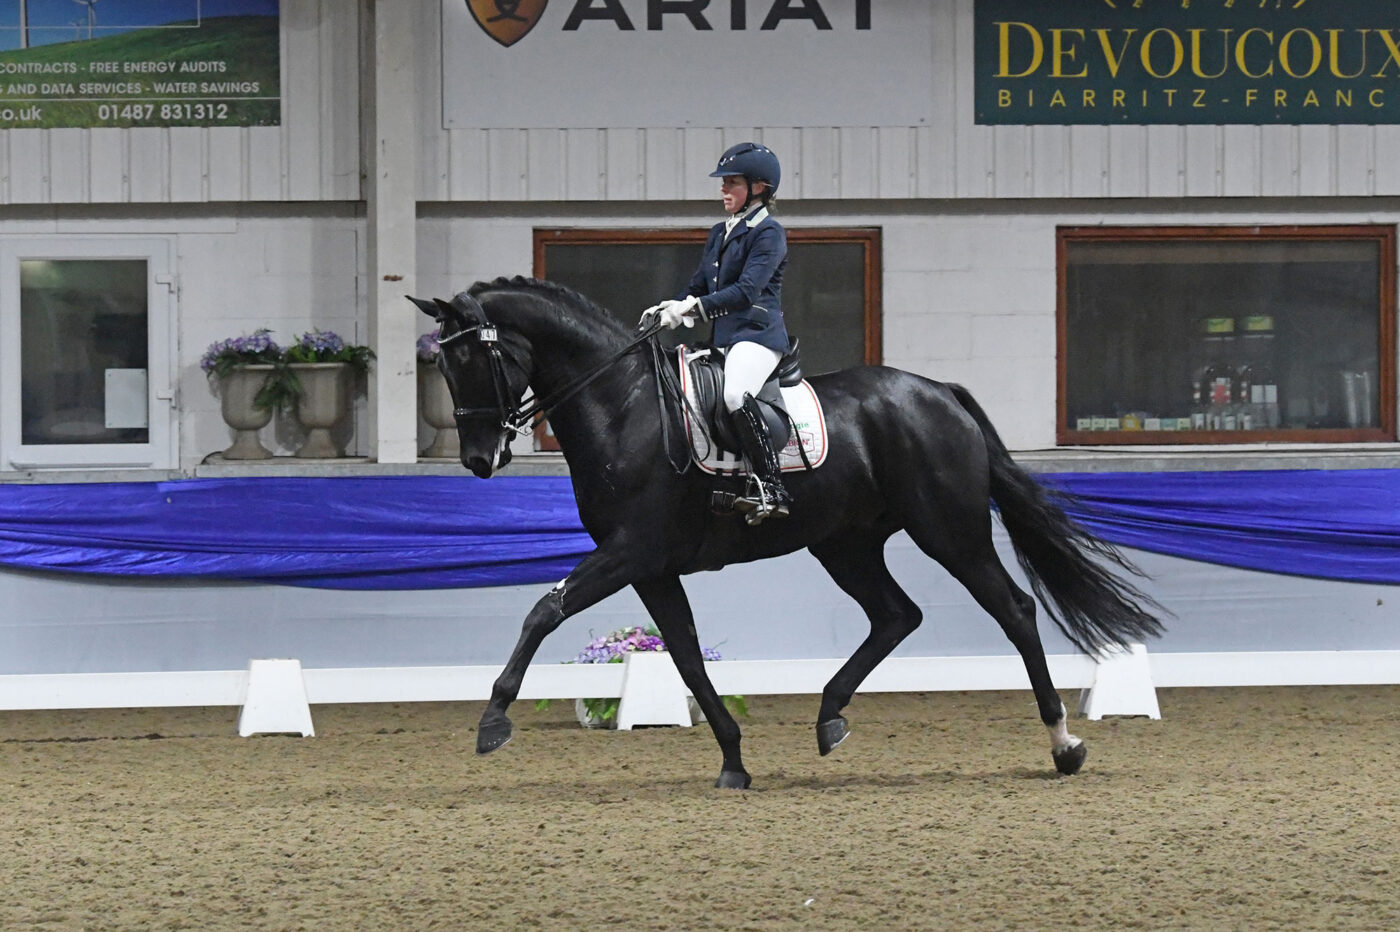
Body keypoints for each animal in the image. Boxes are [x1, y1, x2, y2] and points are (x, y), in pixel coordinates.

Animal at [408, 275, 1164, 783]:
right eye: (442, 362)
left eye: (473, 359)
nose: (479, 460)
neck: (621, 407)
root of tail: (938, 392)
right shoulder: (651, 567)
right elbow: (684, 655)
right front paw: (734, 761)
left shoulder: (628, 552)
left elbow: (544, 610)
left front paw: (493, 721)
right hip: (846, 543)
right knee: (897, 615)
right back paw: (829, 716)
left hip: (950, 530)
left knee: (1012, 609)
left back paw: (1064, 746)